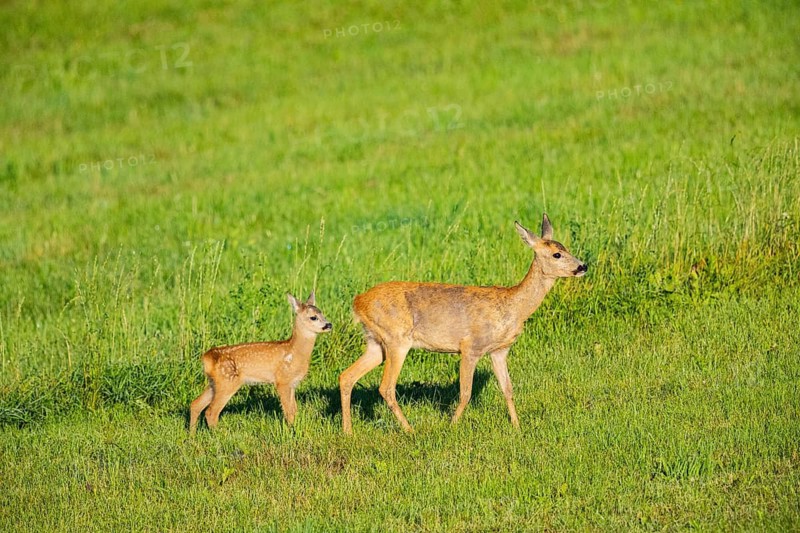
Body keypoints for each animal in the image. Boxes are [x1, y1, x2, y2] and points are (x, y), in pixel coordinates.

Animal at [189, 292, 332, 434]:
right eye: (313, 317)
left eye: (322, 313)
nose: (329, 325)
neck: (294, 352)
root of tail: (207, 358)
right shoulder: (282, 381)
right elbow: (289, 411)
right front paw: (291, 431)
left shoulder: (292, 383)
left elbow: (294, 409)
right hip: (227, 381)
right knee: (211, 411)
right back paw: (219, 435)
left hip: (215, 383)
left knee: (195, 404)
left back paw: (192, 434)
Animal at [339, 214, 587, 434]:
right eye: (556, 254)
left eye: (566, 249)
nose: (583, 266)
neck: (512, 307)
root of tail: (358, 302)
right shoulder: (470, 347)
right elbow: (465, 393)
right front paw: (452, 426)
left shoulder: (499, 350)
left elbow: (508, 389)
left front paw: (517, 427)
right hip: (396, 339)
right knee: (386, 387)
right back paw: (410, 430)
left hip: (376, 343)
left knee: (346, 376)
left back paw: (348, 431)